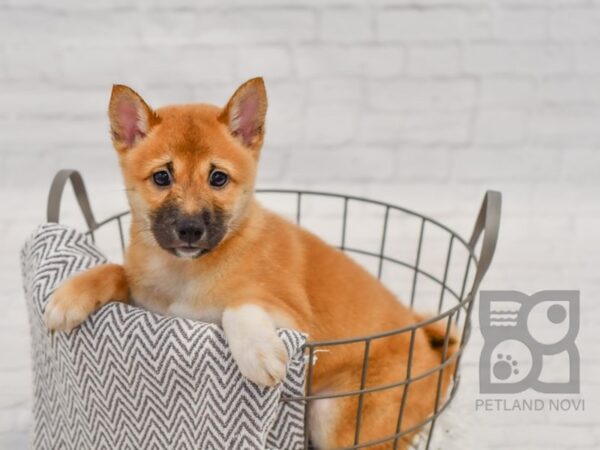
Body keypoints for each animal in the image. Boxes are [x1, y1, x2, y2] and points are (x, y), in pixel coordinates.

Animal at [45, 79, 460, 448]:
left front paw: (258, 351)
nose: (190, 229)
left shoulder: (296, 319)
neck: (185, 272)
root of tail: (434, 352)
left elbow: (238, 304)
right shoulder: (145, 300)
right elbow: (116, 271)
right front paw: (70, 296)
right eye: (162, 177)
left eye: (218, 178)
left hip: (335, 415)